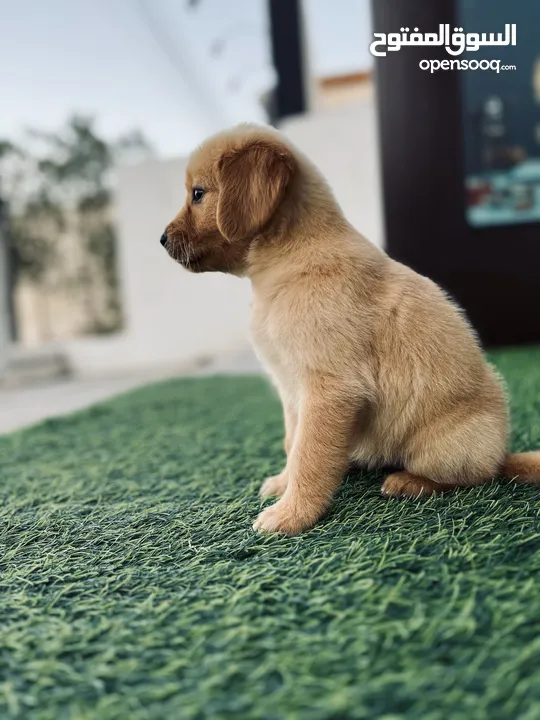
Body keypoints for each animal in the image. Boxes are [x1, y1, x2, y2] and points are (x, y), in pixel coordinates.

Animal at [160, 122, 540, 536]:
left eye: (198, 194)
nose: (161, 240)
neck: (285, 263)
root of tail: (503, 451)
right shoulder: (292, 391)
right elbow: (294, 444)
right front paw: (283, 484)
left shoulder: (330, 389)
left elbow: (309, 455)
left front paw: (291, 514)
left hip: (441, 447)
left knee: (473, 476)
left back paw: (409, 482)